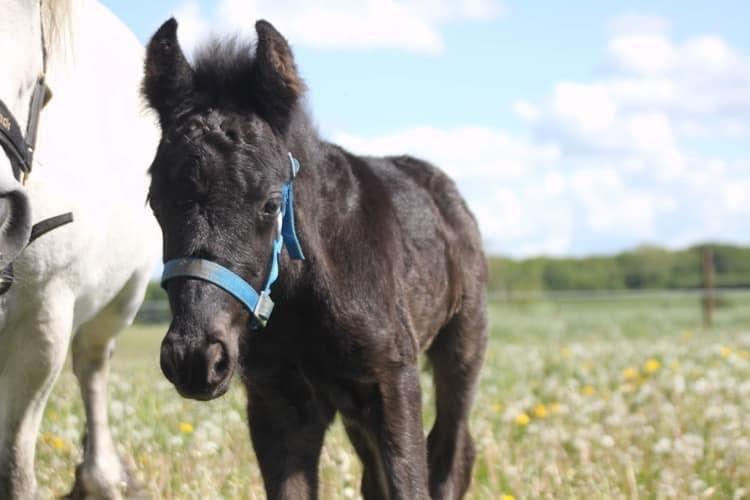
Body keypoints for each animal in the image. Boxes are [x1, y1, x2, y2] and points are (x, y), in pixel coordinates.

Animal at [144, 18, 488, 500]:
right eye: (155, 203)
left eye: (271, 204)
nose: (194, 358)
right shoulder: (279, 406)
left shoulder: (393, 382)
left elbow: (411, 482)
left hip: (461, 348)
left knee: (452, 453)